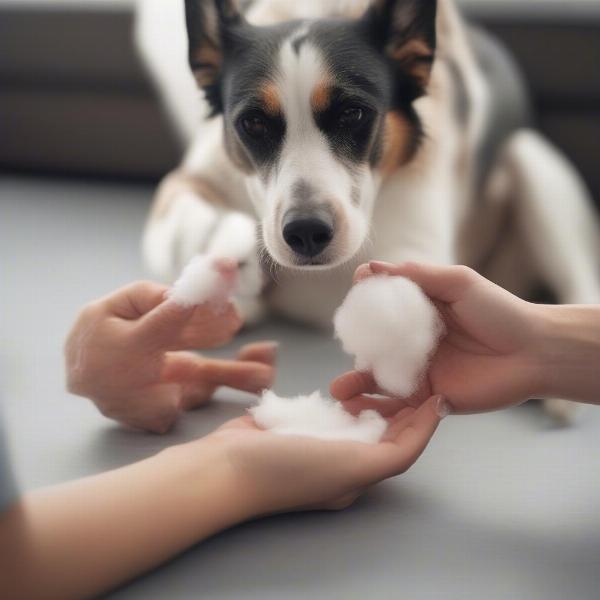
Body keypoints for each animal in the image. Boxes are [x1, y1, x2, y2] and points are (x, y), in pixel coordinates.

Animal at [136, 0, 600, 422]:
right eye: (252, 123)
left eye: (353, 113)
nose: (306, 233)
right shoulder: (198, 175)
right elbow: (182, 212)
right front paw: (223, 256)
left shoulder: (416, 239)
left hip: (530, 156)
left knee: (581, 282)